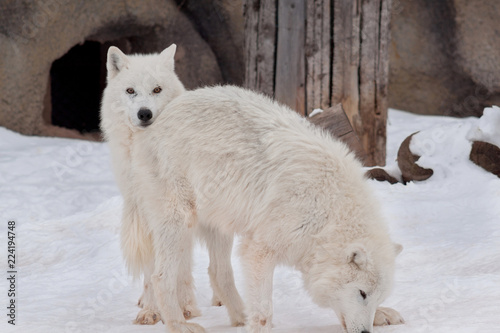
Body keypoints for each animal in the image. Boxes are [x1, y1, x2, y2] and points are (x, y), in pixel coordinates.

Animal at [100, 45, 246, 328]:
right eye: (130, 91)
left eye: (157, 89)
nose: (144, 113)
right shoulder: (148, 214)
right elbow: (153, 270)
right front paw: (151, 310)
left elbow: (182, 266)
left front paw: (186, 307)